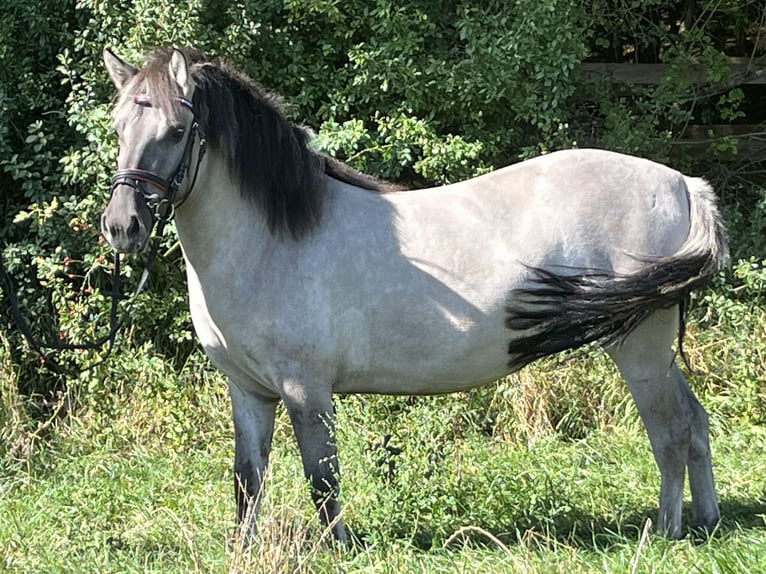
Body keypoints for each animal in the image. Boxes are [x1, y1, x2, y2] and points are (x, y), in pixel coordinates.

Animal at [102, 46, 732, 544]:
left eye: (176, 131)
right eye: (117, 130)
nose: (121, 226)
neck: (271, 240)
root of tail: (682, 184)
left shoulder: (307, 390)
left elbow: (322, 477)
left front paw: (340, 550)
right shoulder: (249, 391)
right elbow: (248, 479)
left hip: (640, 345)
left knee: (671, 430)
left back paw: (666, 533)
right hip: (654, 346)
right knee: (695, 422)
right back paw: (707, 522)